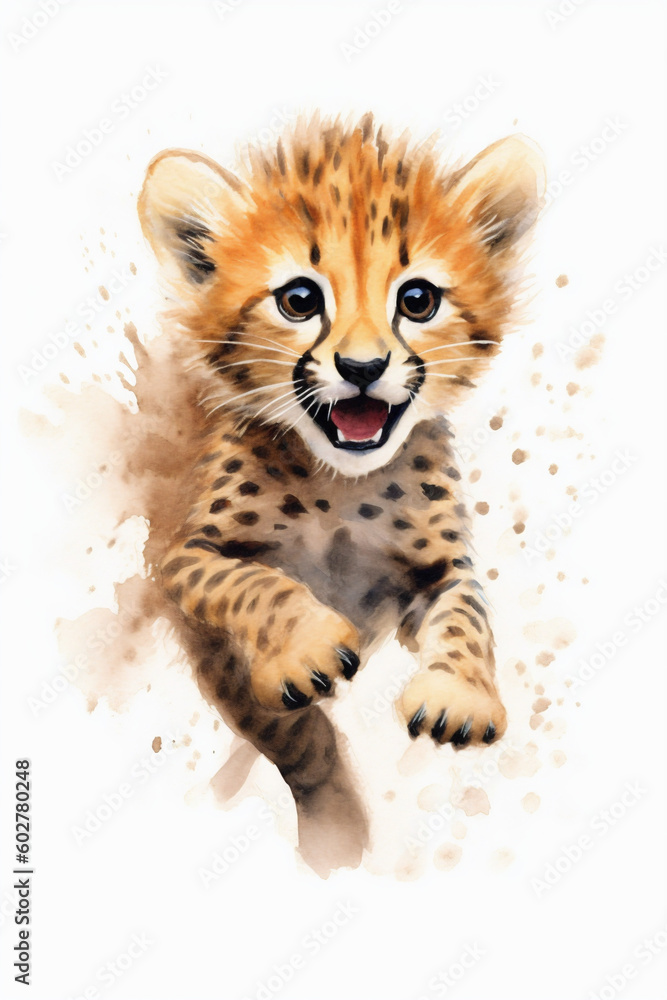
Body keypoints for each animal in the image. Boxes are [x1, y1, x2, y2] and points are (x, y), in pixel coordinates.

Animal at [137, 113, 545, 871]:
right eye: (299, 300)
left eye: (417, 299)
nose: (362, 367)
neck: (339, 484)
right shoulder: (182, 558)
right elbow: (255, 586)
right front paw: (309, 649)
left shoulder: (436, 569)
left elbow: (467, 617)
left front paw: (459, 695)